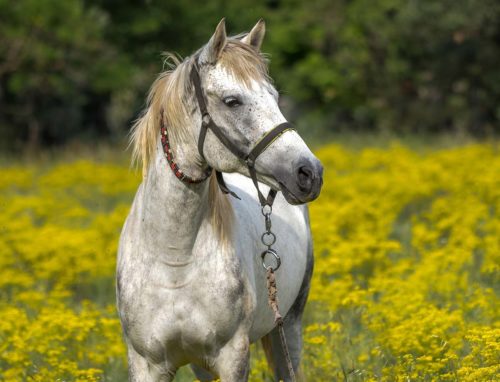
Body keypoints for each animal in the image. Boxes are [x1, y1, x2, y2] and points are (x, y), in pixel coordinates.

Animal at [118, 18, 324, 382]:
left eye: (274, 97)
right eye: (232, 101)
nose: (309, 173)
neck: (174, 260)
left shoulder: (232, 356)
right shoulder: (146, 363)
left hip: (289, 326)